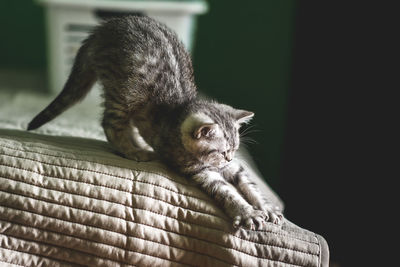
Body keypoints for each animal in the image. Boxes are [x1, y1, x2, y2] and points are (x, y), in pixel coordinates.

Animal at [28, 15, 282, 230]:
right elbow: (226, 190)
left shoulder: (235, 168)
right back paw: (133, 150)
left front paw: (266, 207)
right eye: (220, 151)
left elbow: (249, 185)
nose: (228, 158)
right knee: (111, 124)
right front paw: (246, 211)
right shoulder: (199, 170)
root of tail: (104, 27)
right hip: (124, 93)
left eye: (234, 149)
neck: (180, 112)